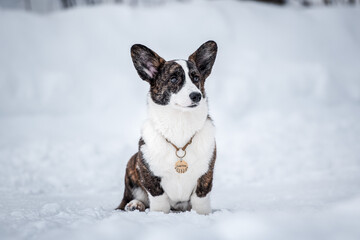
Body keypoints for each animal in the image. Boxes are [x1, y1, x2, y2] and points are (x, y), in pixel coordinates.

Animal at [116, 40, 217, 215]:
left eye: (196, 78)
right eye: (173, 79)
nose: (196, 95)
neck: (180, 124)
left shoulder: (206, 173)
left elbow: (201, 197)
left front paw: (202, 214)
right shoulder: (147, 171)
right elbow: (158, 196)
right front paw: (159, 214)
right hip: (131, 164)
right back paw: (135, 204)